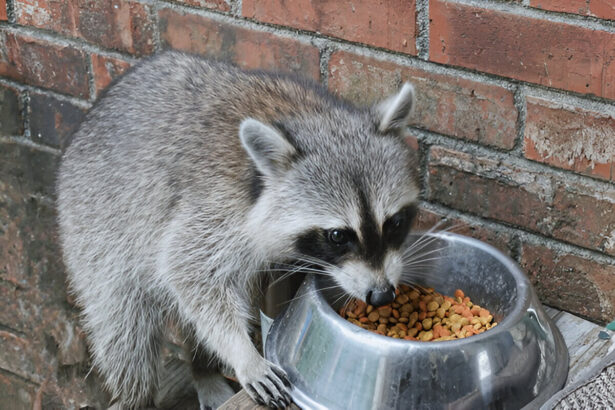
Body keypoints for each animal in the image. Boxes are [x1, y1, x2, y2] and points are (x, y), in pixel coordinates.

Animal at [57, 49, 422, 408]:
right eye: (338, 236)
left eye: (394, 223)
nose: (382, 295)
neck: (314, 117)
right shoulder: (214, 206)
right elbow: (186, 269)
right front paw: (244, 354)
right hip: (94, 230)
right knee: (125, 333)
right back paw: (137, 395)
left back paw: (202, 368)